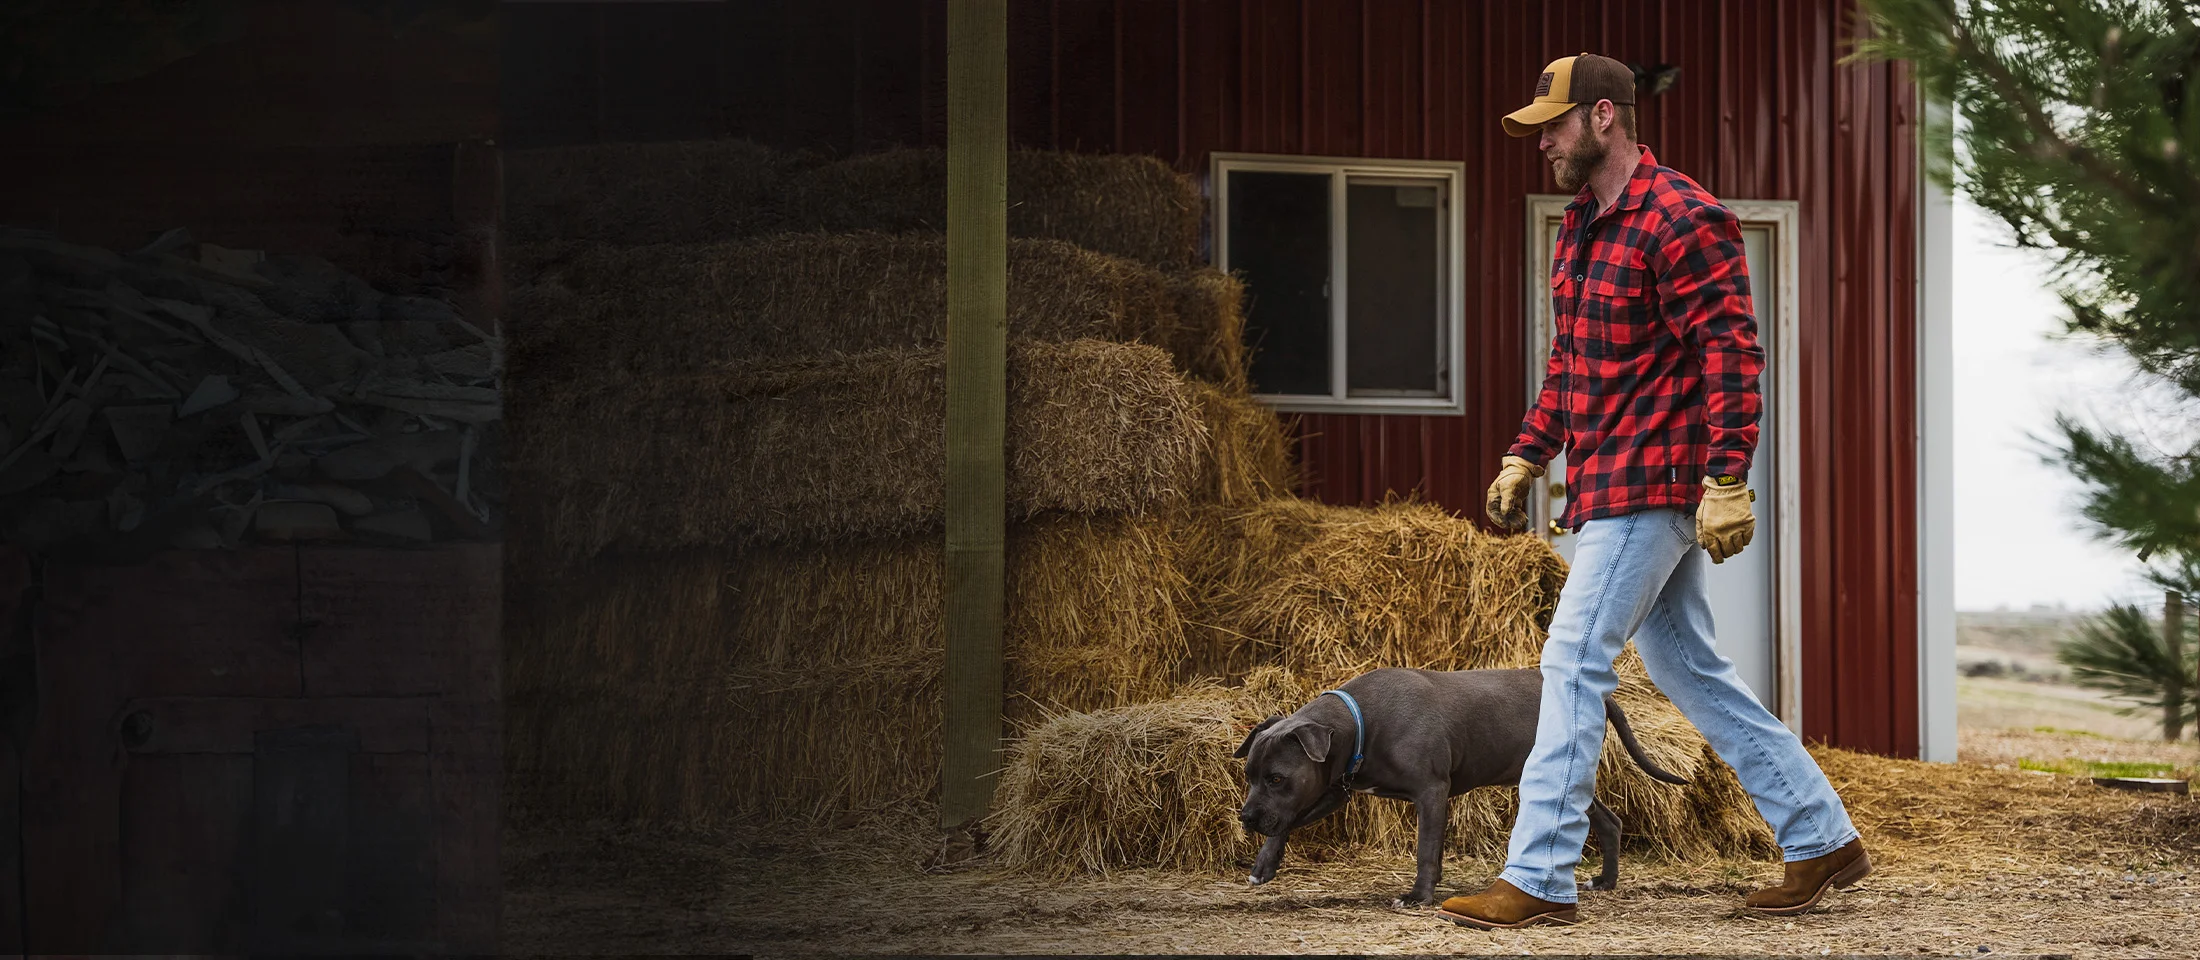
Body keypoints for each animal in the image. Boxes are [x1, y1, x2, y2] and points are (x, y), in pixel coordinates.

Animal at [1240, 669, 1680, 907]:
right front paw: (1264, 865)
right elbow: (1286, 823)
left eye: (1277, 778)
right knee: (1609, 822)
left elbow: (1426, 851)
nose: (1245, 818)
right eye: (1249, 776)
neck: (1360, 722)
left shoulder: (1431, 792)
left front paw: (1418, 896)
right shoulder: (1331, 790)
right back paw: (1605, 881)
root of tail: (1598, 697)